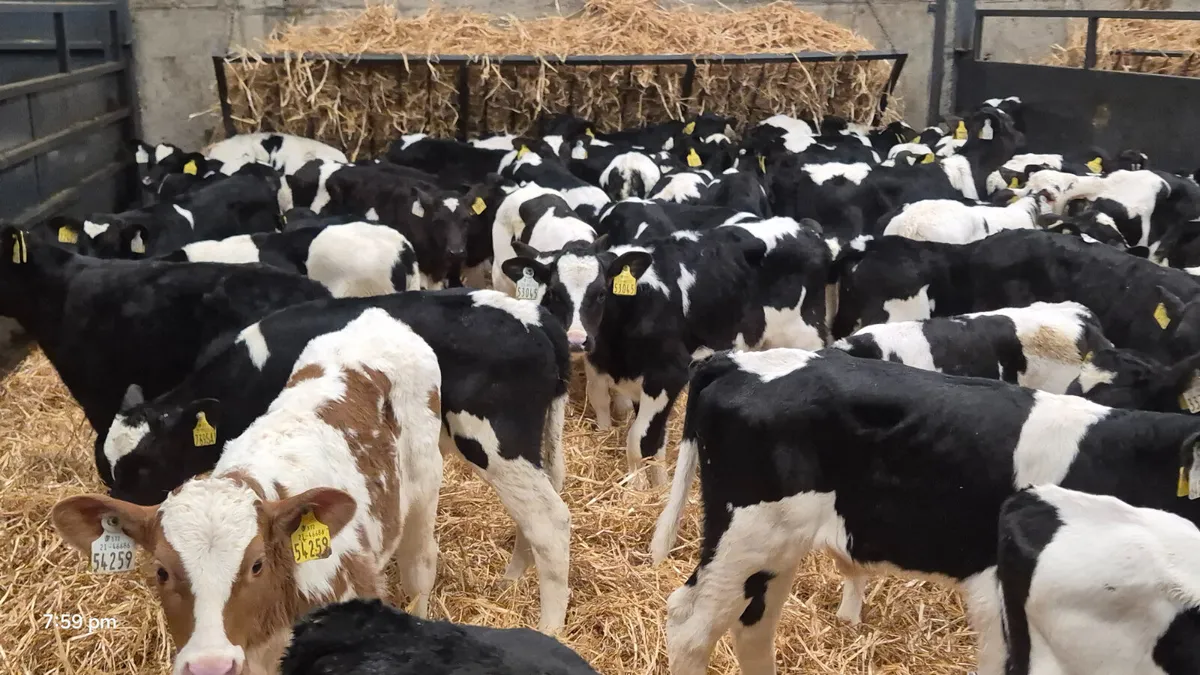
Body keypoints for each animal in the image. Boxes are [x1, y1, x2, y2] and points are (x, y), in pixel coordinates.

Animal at [52, 308, 443, 675]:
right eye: (161, 571)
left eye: (257, 564)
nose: (210, 665)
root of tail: (375, 316)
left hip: (425, 487)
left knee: (420, 566)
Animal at [101, 289, 571, 632]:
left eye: (144, 466)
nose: (117, 520)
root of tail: (533, 315)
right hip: (536, 447)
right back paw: (511, 581)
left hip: (495, 444)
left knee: (550, 519)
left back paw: (548, 627)